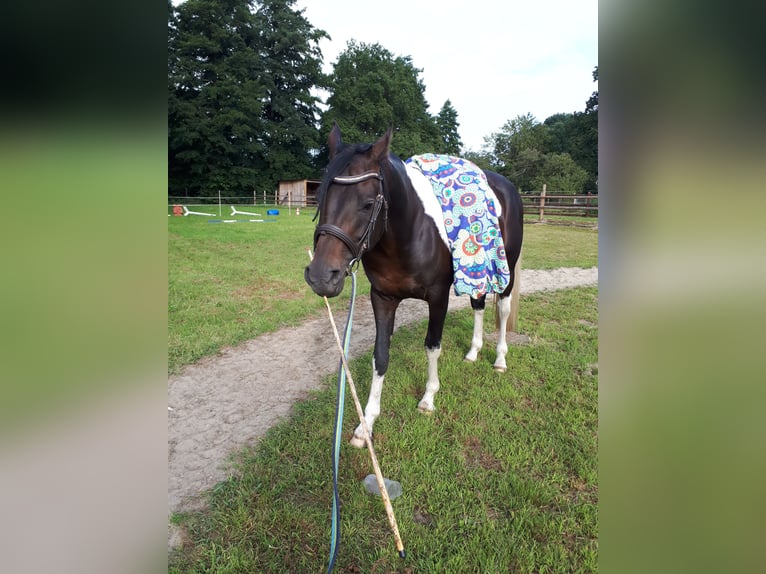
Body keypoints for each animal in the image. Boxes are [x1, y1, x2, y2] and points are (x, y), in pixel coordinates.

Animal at [305, 124, 523, 448]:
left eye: (367, 204)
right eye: (320, 196)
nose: (321, 276)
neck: (409, 232)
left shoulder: (438, 297)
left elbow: (432, 346)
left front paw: (428, 399)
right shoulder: (382, 298)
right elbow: (380, 355)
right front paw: (366, 424)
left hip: (505, 271)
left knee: (504, 311)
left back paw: (499, 359)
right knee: (479, 306)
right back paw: (473, 353)